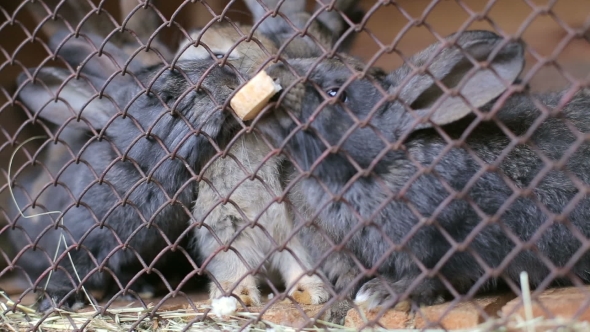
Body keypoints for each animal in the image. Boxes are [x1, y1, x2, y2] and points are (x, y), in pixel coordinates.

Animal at [9, 28, 242, 312]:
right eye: (166, 97)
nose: (231, 80)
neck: (144, 170)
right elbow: (68, 269)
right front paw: (55, 299)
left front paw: (135, 290)